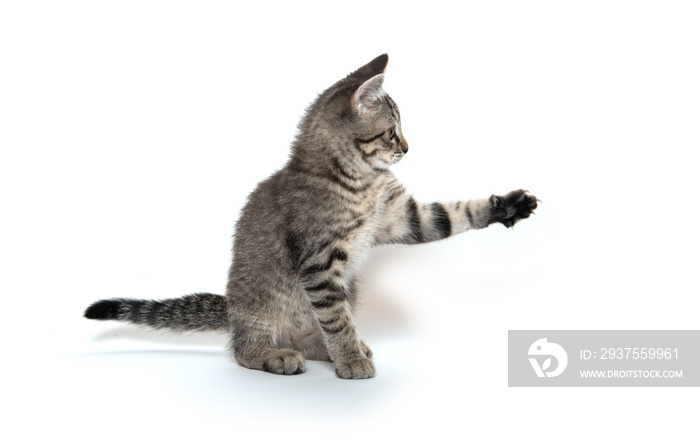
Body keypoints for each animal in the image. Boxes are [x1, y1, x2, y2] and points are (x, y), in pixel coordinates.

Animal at [86, 54, 536, 378]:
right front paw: (351, 360)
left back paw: (321, 347)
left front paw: (508, 204)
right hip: (260, 310)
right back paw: (278, 355)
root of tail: (231, 310)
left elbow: (452, 214)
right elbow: (336, 318)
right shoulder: (320, 263)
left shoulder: (402, 217)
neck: (359, 182)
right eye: (392, 131)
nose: (408, 148)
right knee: (242, 349)